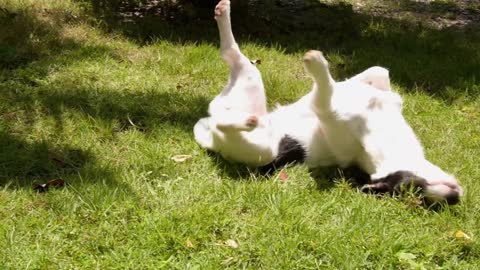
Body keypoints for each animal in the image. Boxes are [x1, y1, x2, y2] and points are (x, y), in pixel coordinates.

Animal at [193, 0, 464, 204]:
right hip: (250, 80)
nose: (454, 198)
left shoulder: (326, 112)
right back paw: (223, 12)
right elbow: (373, 74)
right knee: (231, 53)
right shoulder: (377, 88)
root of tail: (207, 130)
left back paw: (245, 121)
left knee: (229, 119)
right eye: (414, 187)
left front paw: (318, 66)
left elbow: (324, 96)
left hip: (261, 149)